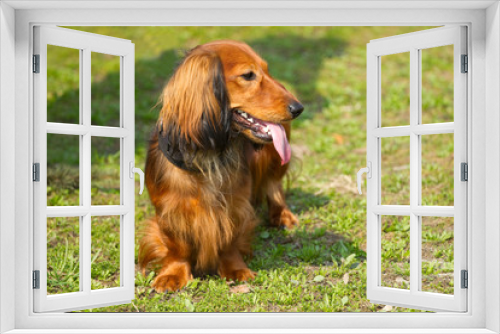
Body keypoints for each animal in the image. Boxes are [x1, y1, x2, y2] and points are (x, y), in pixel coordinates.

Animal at [139, 39, 302, 292]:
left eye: (267, 70)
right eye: (248, 75)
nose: (298, 108)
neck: (210, 155)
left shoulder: (235, 207)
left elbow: (229, 241)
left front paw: (235, 269)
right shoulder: (169, 211)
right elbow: (177, 246)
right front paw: (172, 273)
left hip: (273, 157)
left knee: (273, 185)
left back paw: (282, 215)